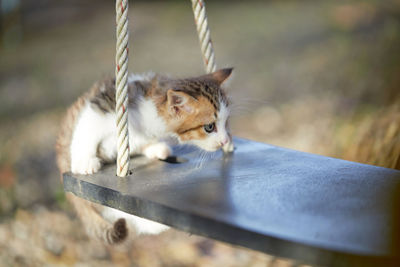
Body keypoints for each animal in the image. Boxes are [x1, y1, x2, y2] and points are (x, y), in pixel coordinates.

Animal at [54, 68, 233, 245]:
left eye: (226, 122)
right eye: (209, 127)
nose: (225, 141)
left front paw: (154, 146)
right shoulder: (103, 104)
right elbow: (88, 127)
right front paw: (84, 162)